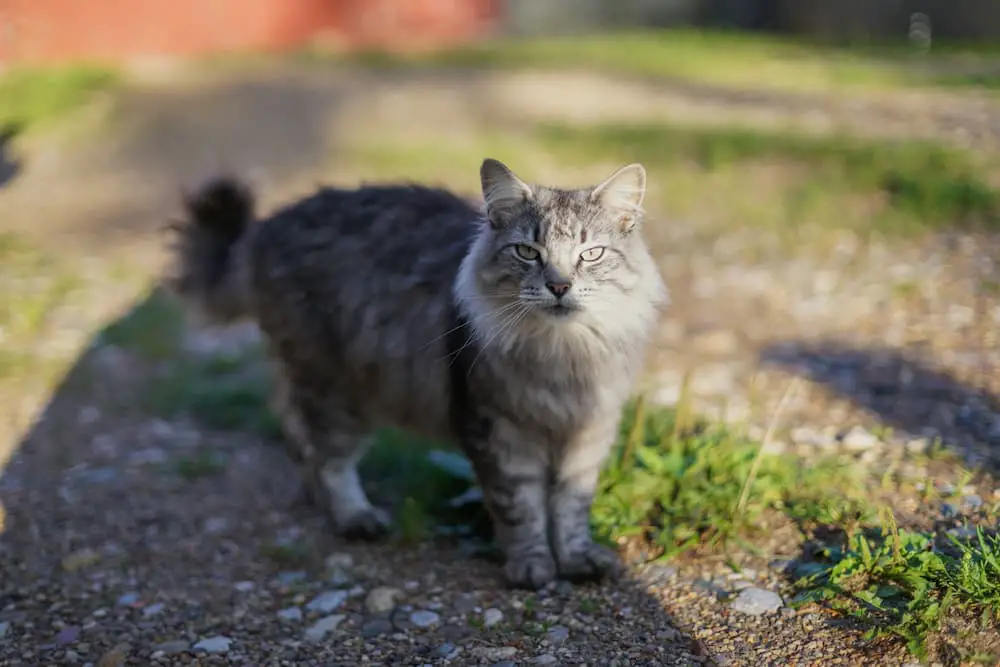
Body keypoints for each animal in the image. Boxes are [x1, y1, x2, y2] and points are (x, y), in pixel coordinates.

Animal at [166, 159, 664, 588]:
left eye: (591, 254)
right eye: (528, 252)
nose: (559, 286)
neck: (563, 355)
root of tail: (267, 227)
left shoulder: (589, 432)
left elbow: (570, 507)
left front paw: (576, 560)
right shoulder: (496, 429)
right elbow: (521, 507)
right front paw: (532, 566)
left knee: (298, 440)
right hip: (337, 392)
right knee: (328, 459)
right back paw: (355, 517)